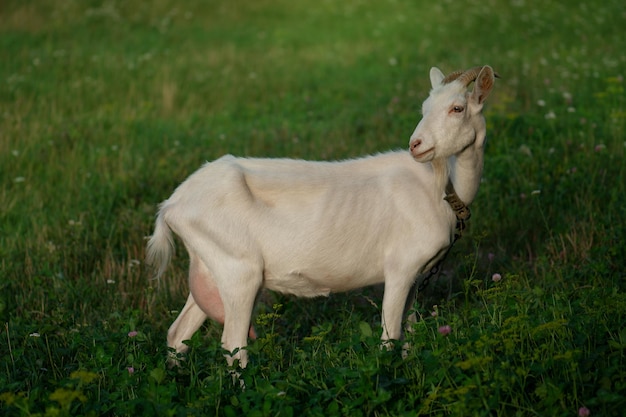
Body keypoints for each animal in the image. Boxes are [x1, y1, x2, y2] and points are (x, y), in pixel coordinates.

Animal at [146, 65, 498, 368]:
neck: (439, 187)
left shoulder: (417, 275)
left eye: (457, 108)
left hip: (210, 268)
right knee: (233, 346)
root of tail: (173, 205)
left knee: (178, 334)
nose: (417, 145)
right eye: (424, 108)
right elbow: (390, 337)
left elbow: (410, 334)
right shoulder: (400, 267)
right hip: (239, 272)